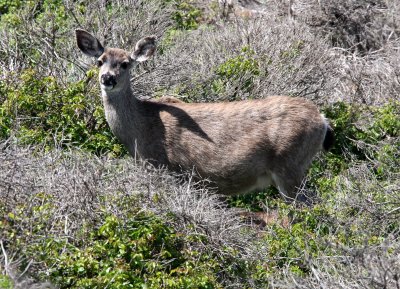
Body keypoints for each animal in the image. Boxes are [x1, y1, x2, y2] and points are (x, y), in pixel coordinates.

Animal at [76, 28, 334, 200]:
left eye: (126, 63)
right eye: (100, 61)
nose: (107, 78)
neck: (140, 129)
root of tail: (322, 120)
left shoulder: (167, 167)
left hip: (290, 165)